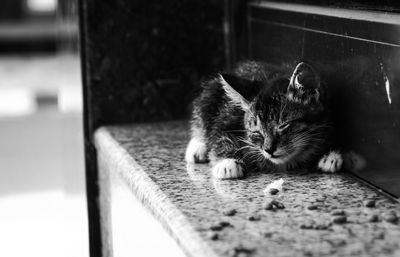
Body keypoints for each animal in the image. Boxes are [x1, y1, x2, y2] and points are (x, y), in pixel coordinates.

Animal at [186, 61, 364, 179]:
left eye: (283, 126)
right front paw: (227, 163)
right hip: (209, 95)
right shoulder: (227, 118)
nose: (268, 150)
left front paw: (330, 155)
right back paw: (197, 147)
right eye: (256, 132)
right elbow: (218, 135)